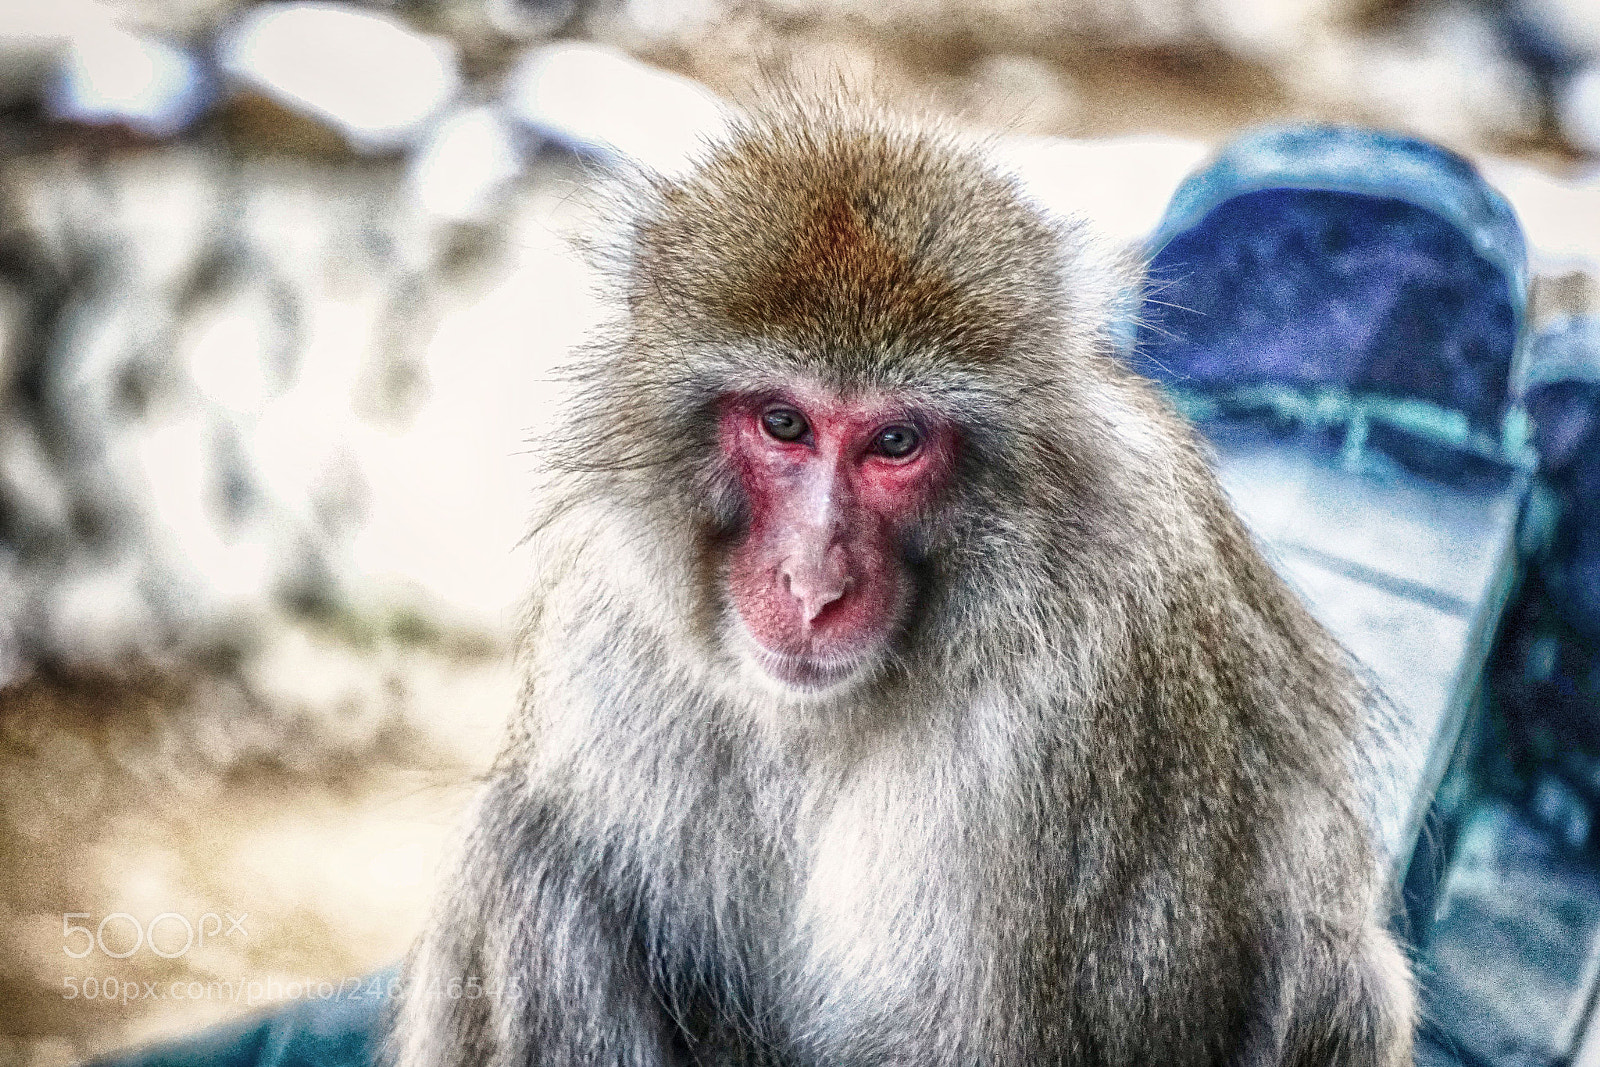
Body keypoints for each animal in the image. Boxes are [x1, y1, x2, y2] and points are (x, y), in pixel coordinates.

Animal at [386, 92, 1417, 1067]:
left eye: (894, 441)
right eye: (784, 423)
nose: (812, 584)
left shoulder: (1077, 713)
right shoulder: (612, 629)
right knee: (531, 858)